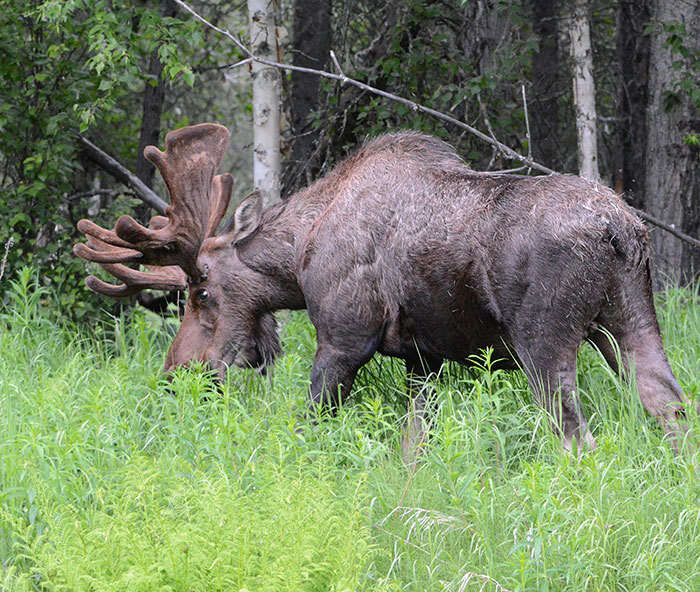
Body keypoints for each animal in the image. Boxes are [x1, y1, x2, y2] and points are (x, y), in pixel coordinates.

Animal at [75, 122, 688, 450]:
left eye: (202, 291)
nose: (176, 375)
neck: (300, 253)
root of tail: (620, 227)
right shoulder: (424, 360)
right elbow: (415, 443)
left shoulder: (344, 337)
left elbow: (311, 424)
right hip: (632, 319)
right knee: (670, 408)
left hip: (544, 340)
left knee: (575, 436)